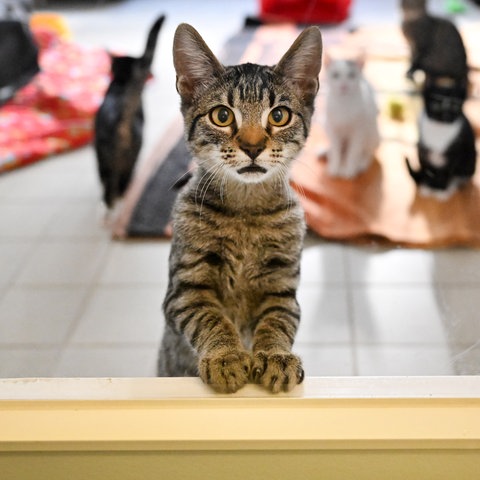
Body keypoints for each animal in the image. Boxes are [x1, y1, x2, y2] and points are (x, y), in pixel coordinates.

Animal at [158, 23, 322, 394]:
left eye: (279, 115)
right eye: (222, 116)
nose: (252, 146)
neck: (245, 212)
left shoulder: (282, 287)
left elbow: (277, 322)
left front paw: (275, 356)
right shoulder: (186, 287)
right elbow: (210, 317)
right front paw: (226, 356)